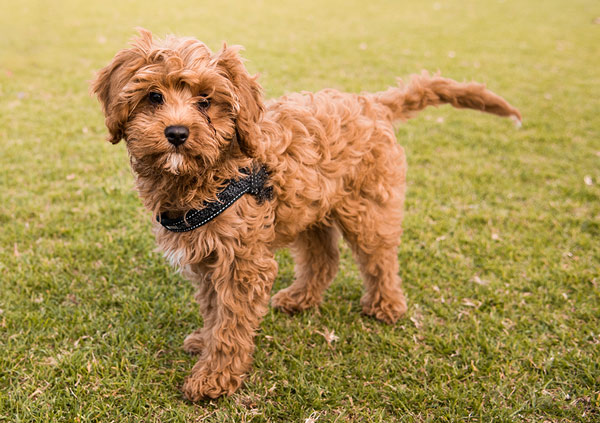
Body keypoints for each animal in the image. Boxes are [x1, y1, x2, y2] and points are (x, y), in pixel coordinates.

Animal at [90, 29, 520, 400]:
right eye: (153, 96)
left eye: (206, 101)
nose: (177, 133)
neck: (214, 173)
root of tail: (372, 103)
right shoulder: (208, 255)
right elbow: (214, 310)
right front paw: (205, 343)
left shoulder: (243, 261)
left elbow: (231, 321)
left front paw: (215, 378)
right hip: (311, 208)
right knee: (323, 258)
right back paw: (301, 299)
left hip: (367, 206)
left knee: (380, 257)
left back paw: (386, 306)